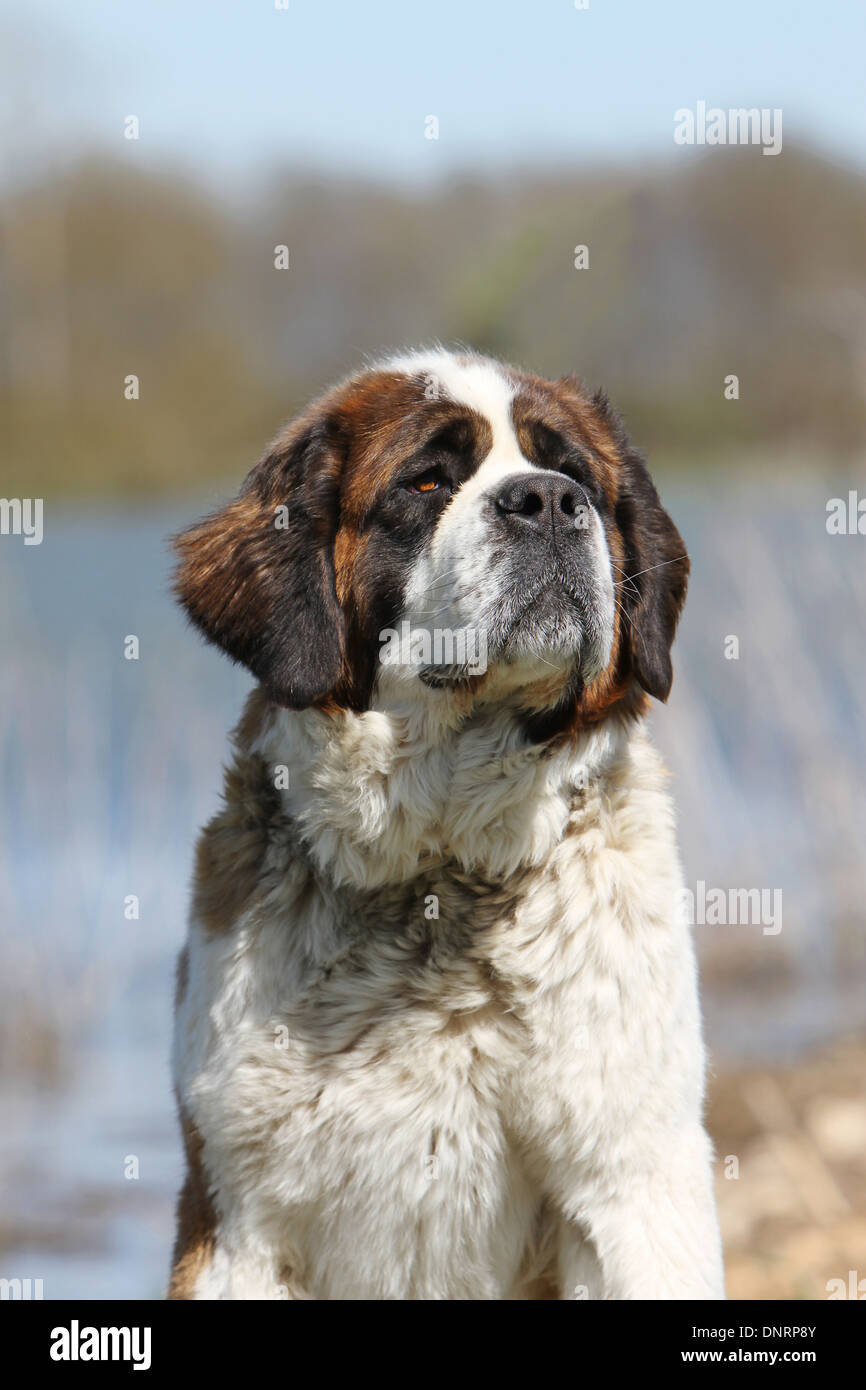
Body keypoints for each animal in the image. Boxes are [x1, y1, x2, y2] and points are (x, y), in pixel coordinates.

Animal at [167, 347, 722, 1301]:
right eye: (427, 481)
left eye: (577, 475)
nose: (547, 502)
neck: (438, 879)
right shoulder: (237, 1224)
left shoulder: (634, 1187)